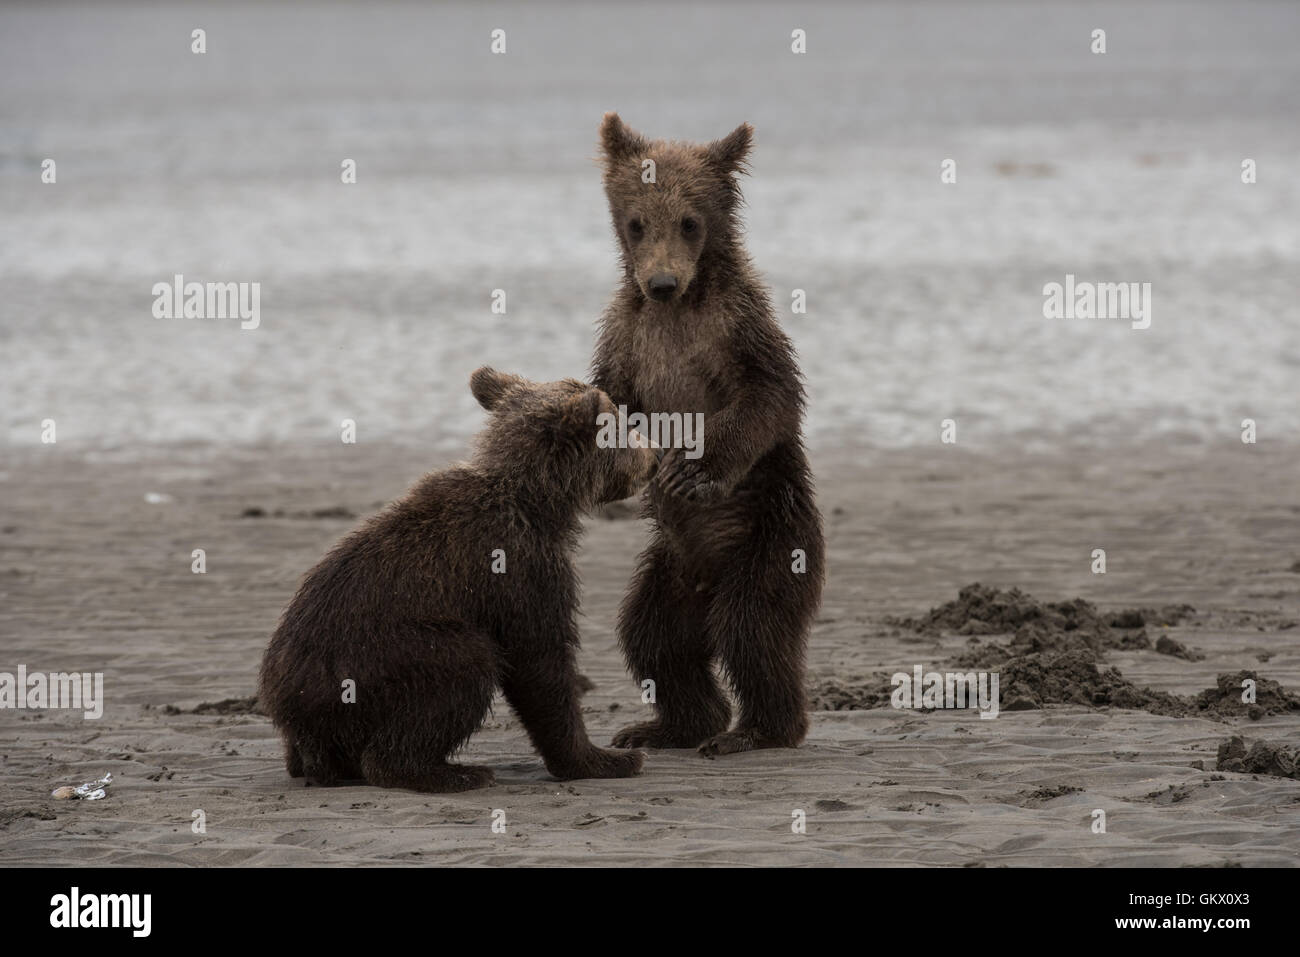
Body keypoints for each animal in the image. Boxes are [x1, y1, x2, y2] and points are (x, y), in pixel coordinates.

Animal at [257, 367, 656, 792]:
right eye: (623, 426)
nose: (655, 454)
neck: (537, 503)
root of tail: (289, 707)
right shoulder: (521, 570)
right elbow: (540, 662)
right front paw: (605, 759)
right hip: (374, 661)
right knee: (463, 663)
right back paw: (450, 771)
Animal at [590, 113, 826, 757]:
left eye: (690, 221)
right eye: (637, 221)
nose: (662, 282)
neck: (681, 310)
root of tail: (708, 577)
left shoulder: (736, 327)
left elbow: (769, 396)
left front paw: (692, 466)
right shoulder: (626, 337)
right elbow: (612, 399)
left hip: (772, 539)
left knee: (752, 629)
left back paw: (758, 730)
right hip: (670, 570)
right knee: (652, 637)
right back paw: (669, 724)